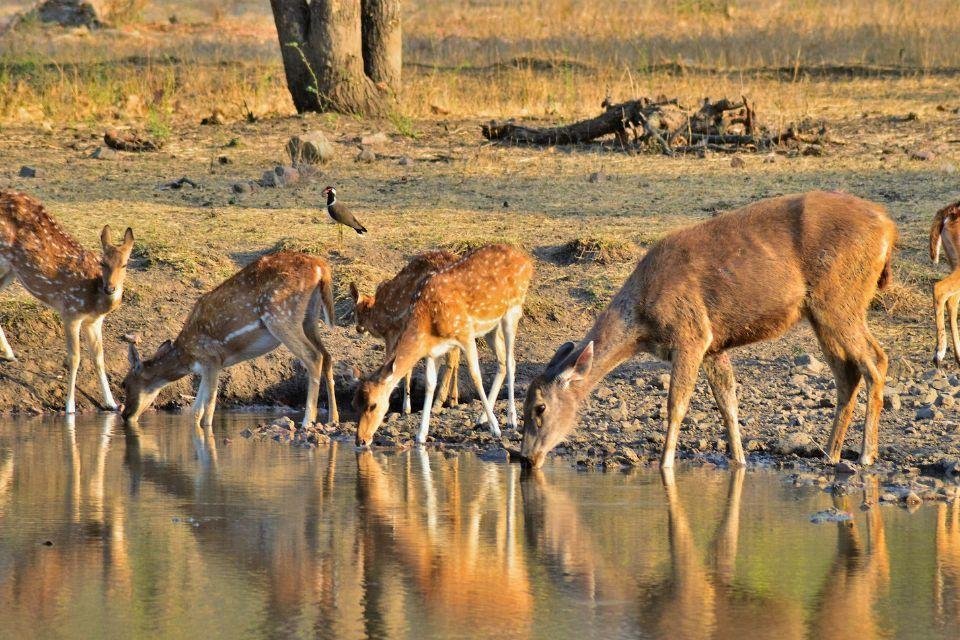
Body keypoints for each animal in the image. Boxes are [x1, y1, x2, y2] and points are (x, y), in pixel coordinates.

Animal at [0, 189, 136, 416]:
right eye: (103, 262)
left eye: (125, 264)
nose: (110, 288)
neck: (94, 300)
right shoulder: (70, 312)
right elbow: (75, 358)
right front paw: (69, 407)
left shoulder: (94, 322)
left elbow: (99, 358)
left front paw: (111, 403)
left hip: (11, 269)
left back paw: (9, 354)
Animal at [123, 252, 338, 428]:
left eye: (124, 384)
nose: (126, 415)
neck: (187, 356)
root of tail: (321, 268)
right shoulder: (208, 365)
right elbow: (195, 412)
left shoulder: (211, 359)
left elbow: (208, 410)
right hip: (310, 317)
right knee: (327, 355)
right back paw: (332, 419)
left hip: (280, 315)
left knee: (313, 356)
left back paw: (307, 421)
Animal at [348, 248, 464, 418]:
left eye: (356, 311)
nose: (359, 328)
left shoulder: (395, 333)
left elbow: (396, 364)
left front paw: (404, 407)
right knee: (457, 353)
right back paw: (452, 400)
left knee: (452, 356)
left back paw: (438, 403)